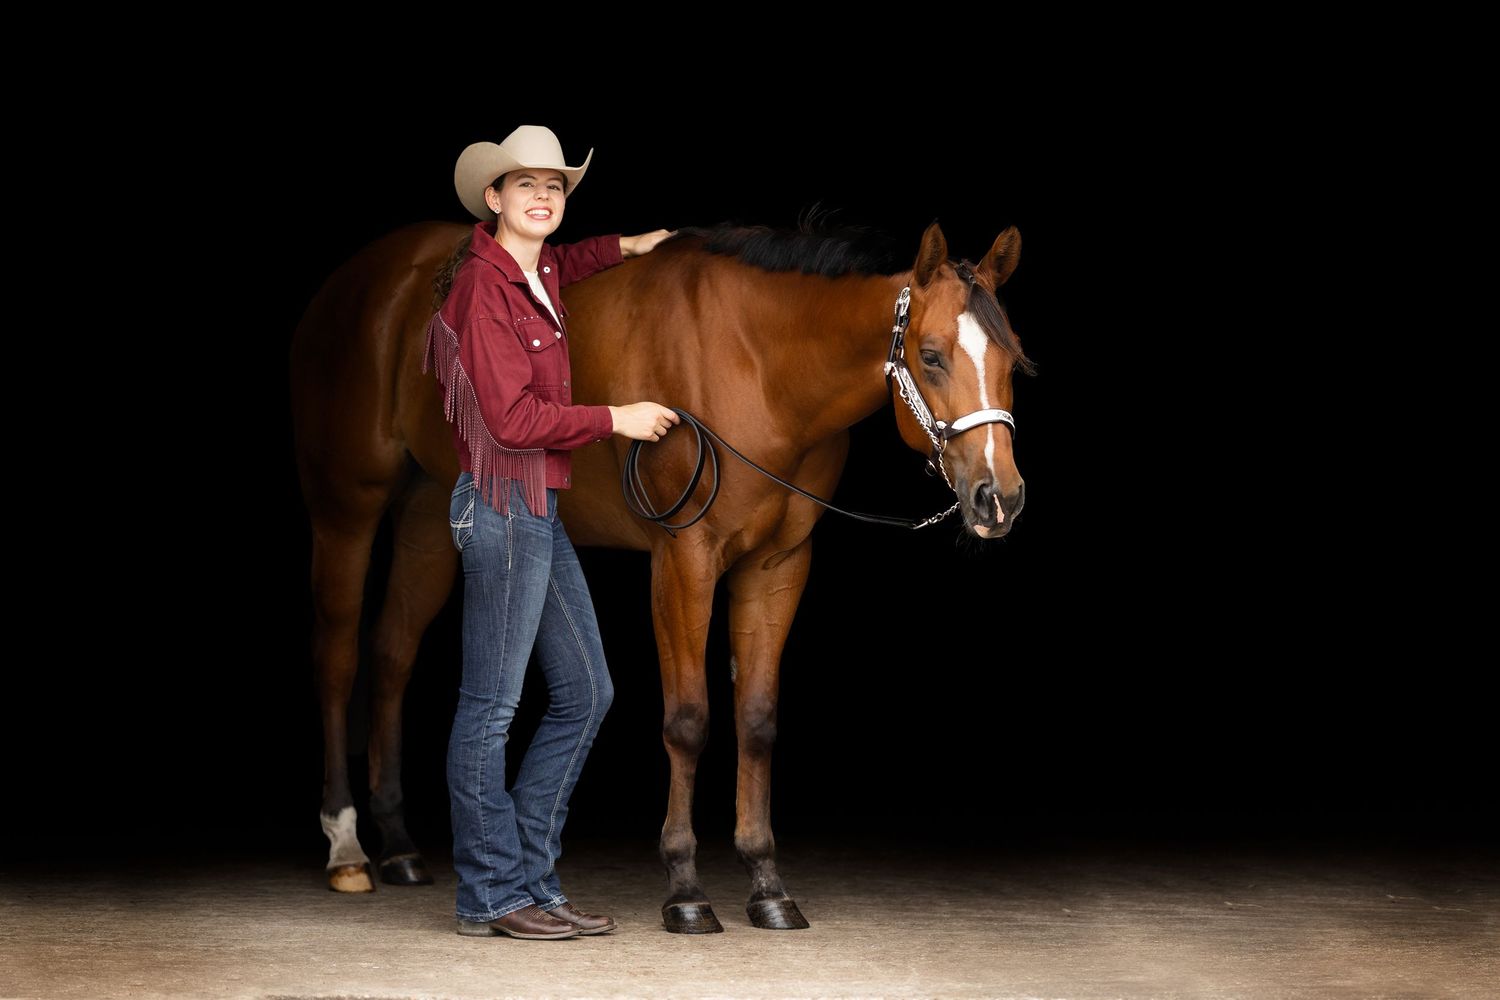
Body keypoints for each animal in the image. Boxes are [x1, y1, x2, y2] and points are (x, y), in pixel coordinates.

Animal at [290, 217, 1031, 931]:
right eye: (931, 356)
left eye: (1013, 358)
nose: (999, 498)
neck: (758, 366)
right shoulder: (684, 559)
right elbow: (688, 719)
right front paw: (685, 889)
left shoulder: (777, 567)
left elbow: (757, 720)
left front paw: (767, 883)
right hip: (347, 508)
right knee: (338, 657)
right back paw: (347, 847)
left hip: (428, 514)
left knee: (392, 655)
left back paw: (400, 846)